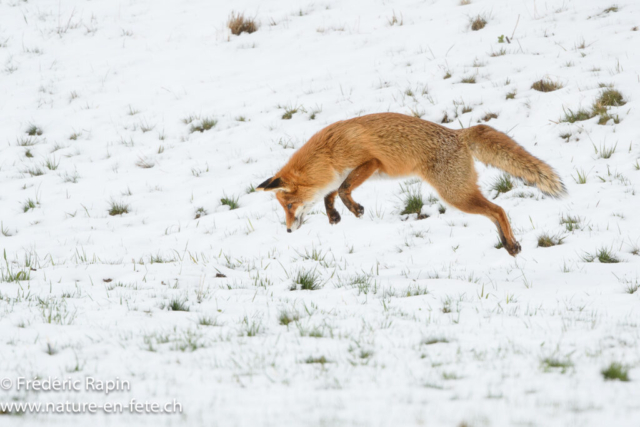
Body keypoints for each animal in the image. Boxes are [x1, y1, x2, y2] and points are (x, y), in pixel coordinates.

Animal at [257, 113, 566, 256]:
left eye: (289, 206)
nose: (287, 230)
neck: (327, 153)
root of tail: (458, 133)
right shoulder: (336, 175)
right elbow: (329, 195)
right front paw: (334, 216)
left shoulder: (370, 163)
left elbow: (343, 189)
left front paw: (354, 210)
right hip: (461, 193)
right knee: (494, 213)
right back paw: (508, 243)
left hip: (455, 195)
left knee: (498, 210)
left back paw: (510, 244)